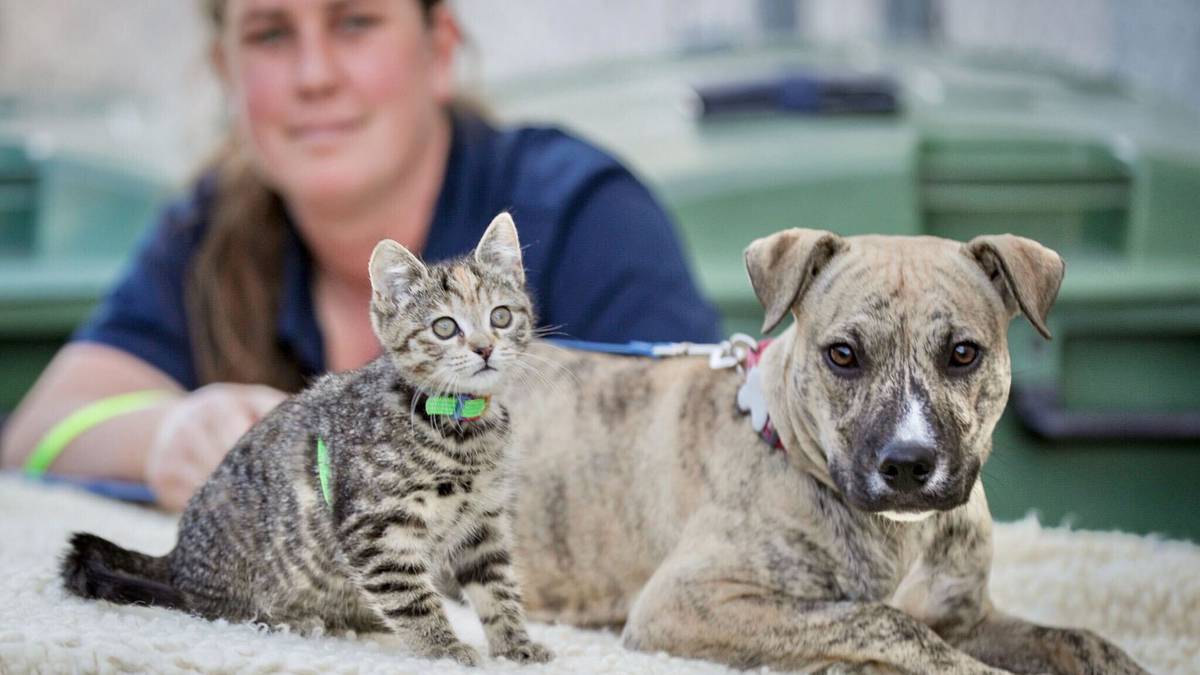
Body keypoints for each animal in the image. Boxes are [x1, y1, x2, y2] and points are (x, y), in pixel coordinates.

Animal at [60, 212, 552, 662]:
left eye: (501, 316)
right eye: (445, 327)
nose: (485, 348)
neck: (460, 426)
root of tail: (177, 557)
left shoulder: (483, 525)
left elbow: (497, 587)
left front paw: (516, 645)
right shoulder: (374, 528)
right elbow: (412, 598)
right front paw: (443, 648)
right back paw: (297, 620)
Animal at [501, 229, 1147, 672]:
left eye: (963, 353)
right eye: (843, 354)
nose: (907, 465)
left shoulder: (969, 615)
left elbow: (1078, 638)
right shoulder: (685, 600)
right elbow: (885, 620)